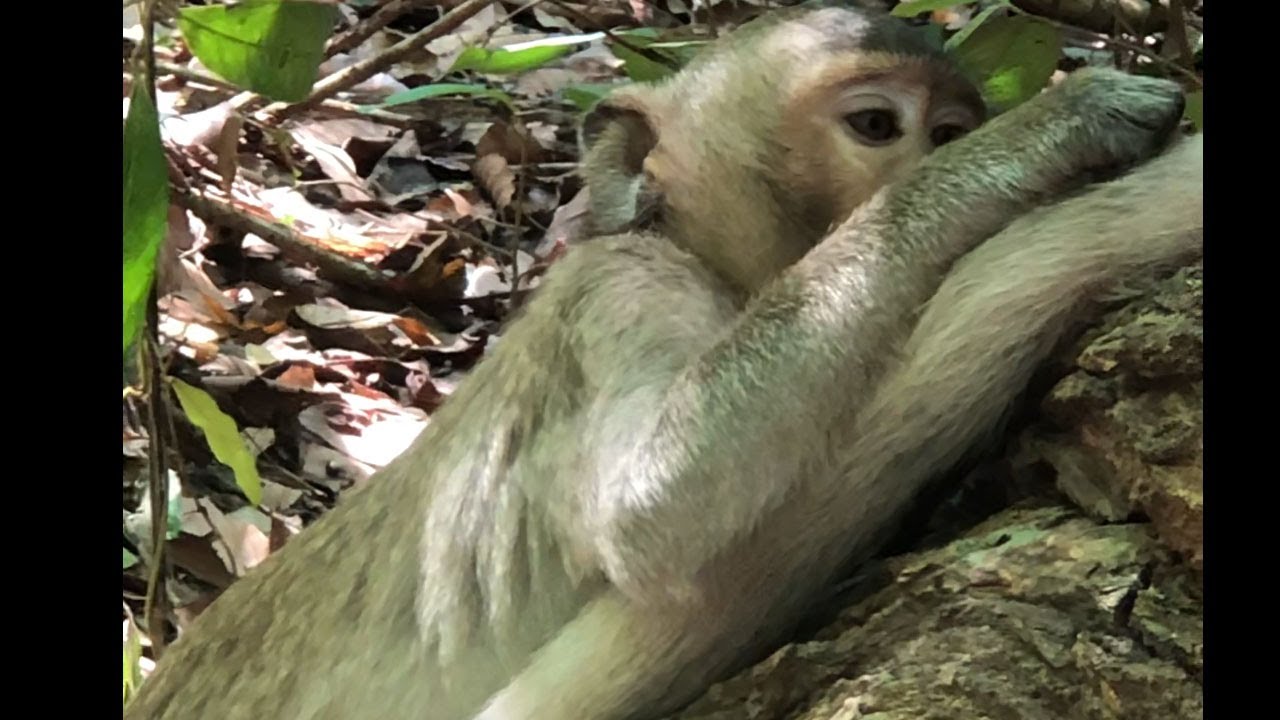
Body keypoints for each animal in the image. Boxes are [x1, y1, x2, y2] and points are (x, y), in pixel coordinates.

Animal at [124, 6, 1202, 720]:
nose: (938, 150)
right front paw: (1044, 137)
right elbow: (655, 505)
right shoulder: (620, 295)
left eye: (944, 128)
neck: (704, 256)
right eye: (876, 126)